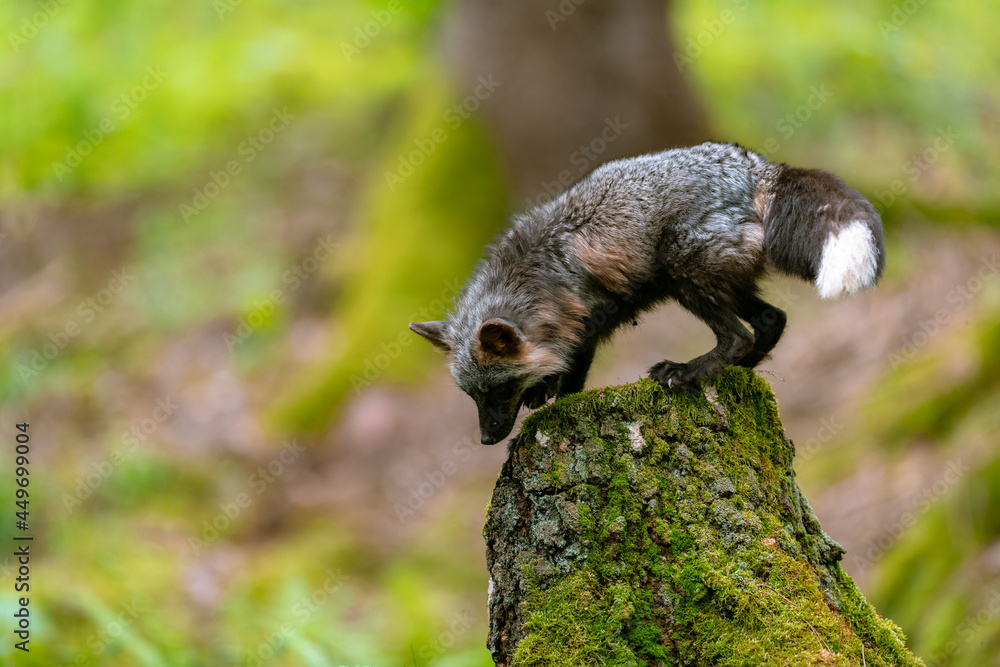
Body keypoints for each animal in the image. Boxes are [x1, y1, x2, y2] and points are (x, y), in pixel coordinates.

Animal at [406, 142, 884, 444]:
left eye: (498, 390)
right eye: (472, 395)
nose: (487, 440)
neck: (537, 275)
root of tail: (755, 164)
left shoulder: (589, 318)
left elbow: (572, 374)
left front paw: (553, 397)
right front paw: (543, 390)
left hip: (682, 273)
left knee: (737, 335)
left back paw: (689, 371)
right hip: (716, 282)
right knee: (771, 320)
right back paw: (735, 371)